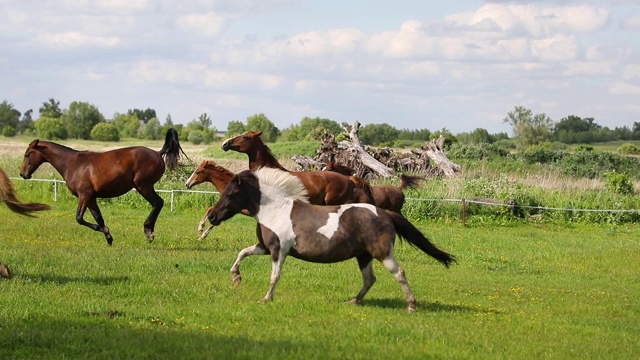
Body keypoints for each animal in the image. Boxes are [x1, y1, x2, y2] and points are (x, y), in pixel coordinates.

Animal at [19, 127, 188, 245]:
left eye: (27, 155)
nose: (22, 174)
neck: (72, 164)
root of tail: (158, 153)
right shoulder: (91, 198)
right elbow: (99, 218)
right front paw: (109, 238)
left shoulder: (84, 195)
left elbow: (79, 218)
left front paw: (107, 232)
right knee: (158, 203)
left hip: (143, 186)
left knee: (158, 203)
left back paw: (149, 231)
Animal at [206, 167, 456, 310]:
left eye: (231, 193)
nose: (211, 216)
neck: (276, 209)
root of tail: (385, 213)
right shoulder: (265, 247)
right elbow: (242, 253)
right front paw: (236, 278)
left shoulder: (279, 250)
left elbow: (274, 276)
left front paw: (266, 299)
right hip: (363, 256)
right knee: (370, 279)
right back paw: (353, 302)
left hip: (383, 253)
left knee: (399, 273)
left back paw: (412, 306)